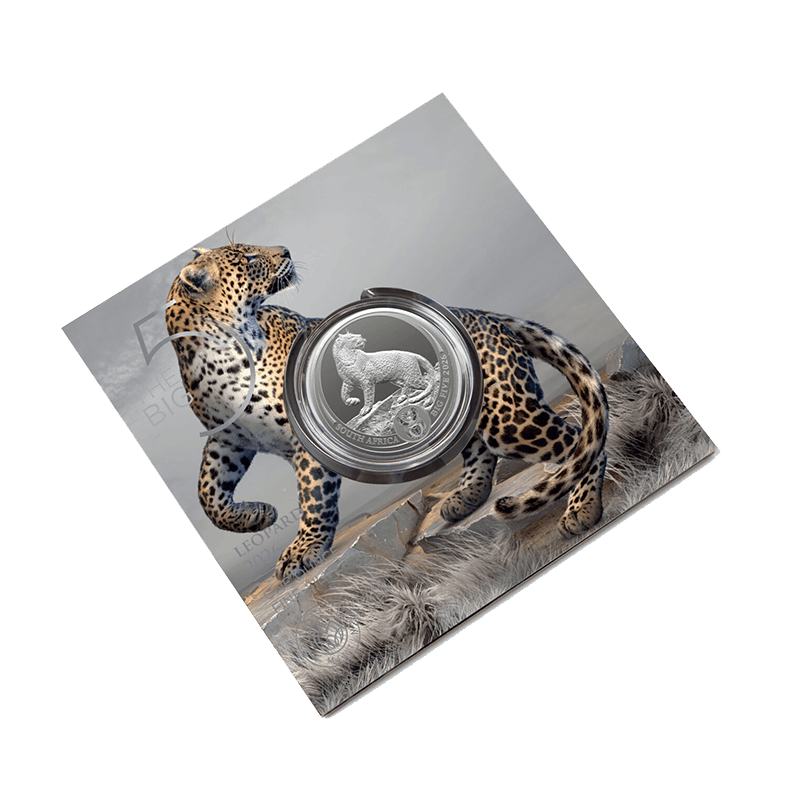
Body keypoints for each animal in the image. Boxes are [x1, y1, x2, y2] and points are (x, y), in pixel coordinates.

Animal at [165, 242, 608, 583]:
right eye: (249, 258)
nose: (287, 250)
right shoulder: (228, 439)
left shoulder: (303, 441)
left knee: (580, 438)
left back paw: (582, 508)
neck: (214, 351)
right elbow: (208, 496)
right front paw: (258, 516)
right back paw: (465, 497)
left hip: (509, 417)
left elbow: (313, 497)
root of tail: (487, 315)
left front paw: (303, 549)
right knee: (479, 448)